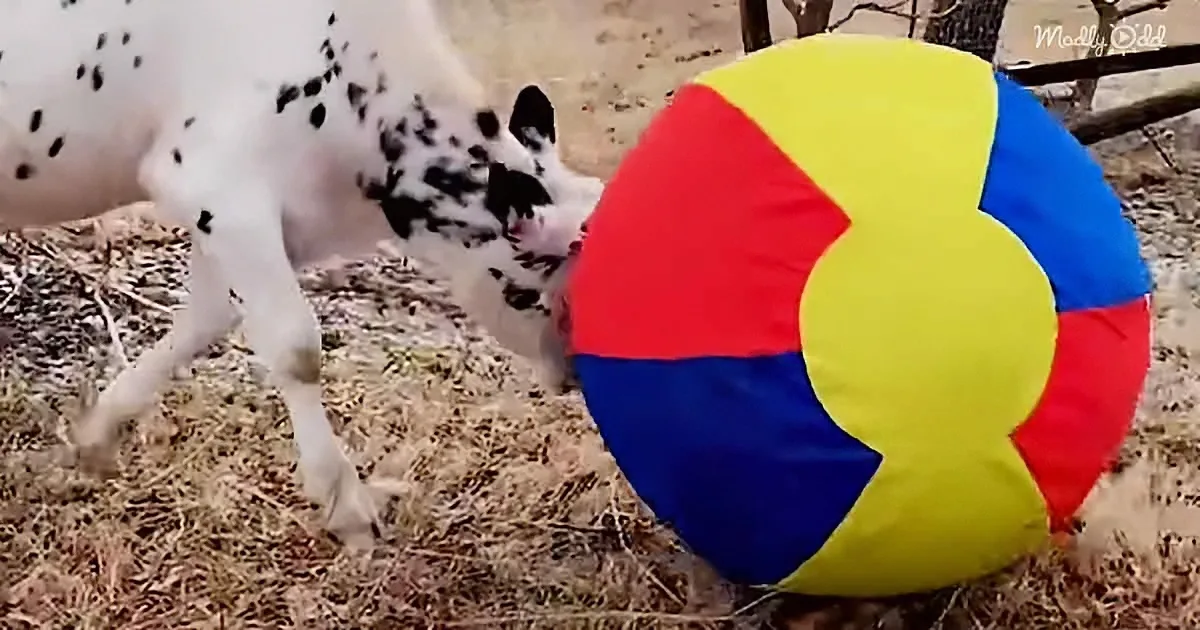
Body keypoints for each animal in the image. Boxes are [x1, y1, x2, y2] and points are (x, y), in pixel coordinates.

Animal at [0, 0, 601, 547]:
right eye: (539, 284)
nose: (575, 373)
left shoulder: (239, 216)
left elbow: (203, 321)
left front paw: (95, 438)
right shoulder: (219, 186)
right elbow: (297, 348)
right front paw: (346, 506)